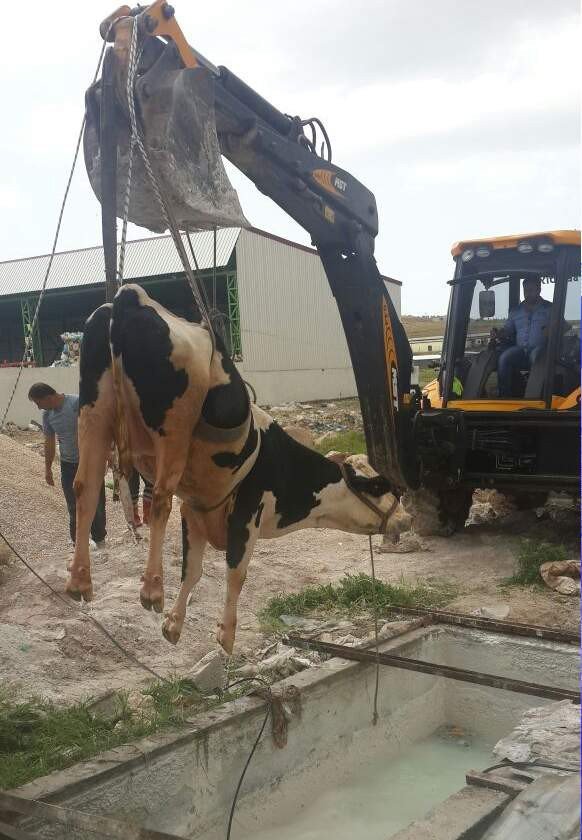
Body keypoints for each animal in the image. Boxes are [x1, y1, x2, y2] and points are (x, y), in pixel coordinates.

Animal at [68, 286, 412, 652]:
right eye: (379, 487)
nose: (406, 518)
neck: (282, 462)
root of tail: (132, 295)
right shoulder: (248, 510)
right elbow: (236, 573)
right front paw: (226, 634)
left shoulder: (195, 510)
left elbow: (193, 570)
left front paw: (174, 625)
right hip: (173, 430)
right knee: (159, 498)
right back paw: (151, 588)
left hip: (95, 412)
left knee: (86, 487)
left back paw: (79, 580)